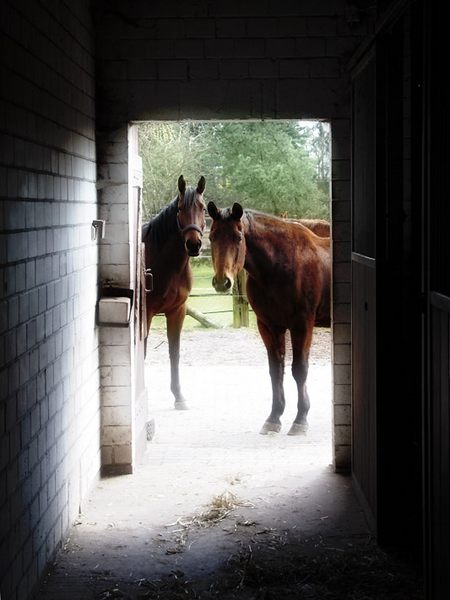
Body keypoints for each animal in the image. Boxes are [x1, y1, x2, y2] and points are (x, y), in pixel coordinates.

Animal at [142, 173, 207, 408]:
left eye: (203, 208)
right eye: (180, 208)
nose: (194, 245)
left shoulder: (177, 311)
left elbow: (174, 352)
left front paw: (179, 396)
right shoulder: (147, 314)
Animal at [207, 203, 330, 436]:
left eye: (238, 237)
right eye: (211, 236)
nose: (222, 282)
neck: (279, 266)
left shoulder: (302, 325)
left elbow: (299, 370)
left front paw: (300, 420)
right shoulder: (269, 326)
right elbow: (276, 370)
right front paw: (274, 418)